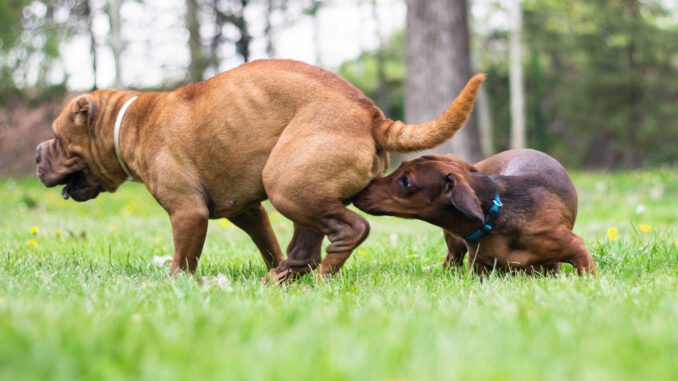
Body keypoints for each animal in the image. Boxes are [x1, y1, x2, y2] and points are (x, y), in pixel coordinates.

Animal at [35, 58, 484, 280]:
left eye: (57, 137)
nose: (38, 153)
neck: (128, 122)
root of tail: (371, 115)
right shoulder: (247, 211)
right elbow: (267, 242)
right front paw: (271, 264)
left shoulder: (187, 213)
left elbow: (183, 258)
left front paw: (175, 285)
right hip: (300, 190)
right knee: (305, 244)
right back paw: (283, 277)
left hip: (286, 183)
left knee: (350, 230)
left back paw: (321, 276)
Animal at [354, 147, 596, 274]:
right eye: (401, 165)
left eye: (406, 181)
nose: (360, 189)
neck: (494, 220)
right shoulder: (478, 267)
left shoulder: (577, 249)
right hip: (455, 245)